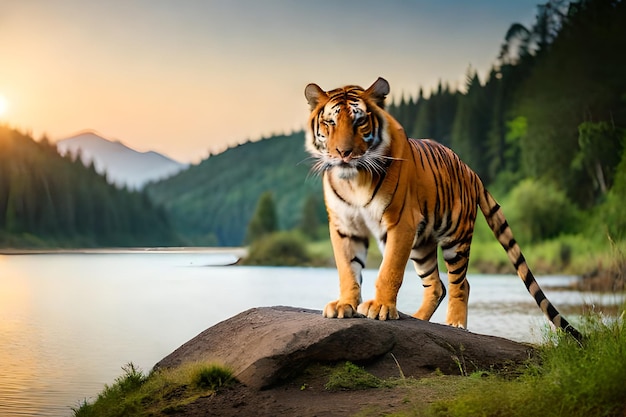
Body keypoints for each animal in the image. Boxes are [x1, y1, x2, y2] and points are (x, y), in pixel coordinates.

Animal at [302, 76, 580, 340]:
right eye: (330, 123)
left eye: (360, 122)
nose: (343, 153)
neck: (354, 179)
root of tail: (470, 170)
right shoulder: (345, 226)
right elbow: (348, 269)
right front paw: (345, 305)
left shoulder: (400, 223)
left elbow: (389, 270)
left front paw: (380, 307)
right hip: (421, 245)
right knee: (437, 286)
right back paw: (419, 319)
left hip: (456, 238)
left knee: (461, 284)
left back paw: (455, 324)